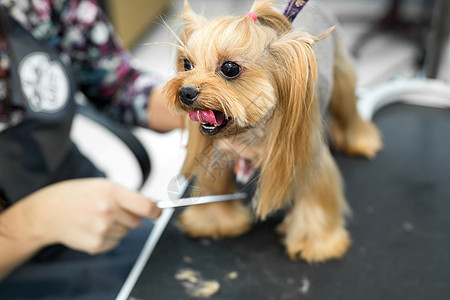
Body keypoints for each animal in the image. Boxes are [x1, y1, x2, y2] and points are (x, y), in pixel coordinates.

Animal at [163, 0, 382, 262]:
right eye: (187, 64)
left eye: (230, 68)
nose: (185, 91)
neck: (251, 131)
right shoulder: (220, 151)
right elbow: (215, 184)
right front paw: (214, 221)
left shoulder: (307, 156)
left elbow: (315, 196)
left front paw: (317, 243)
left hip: (342, 72)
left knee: (347, 106)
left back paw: (360, 141)